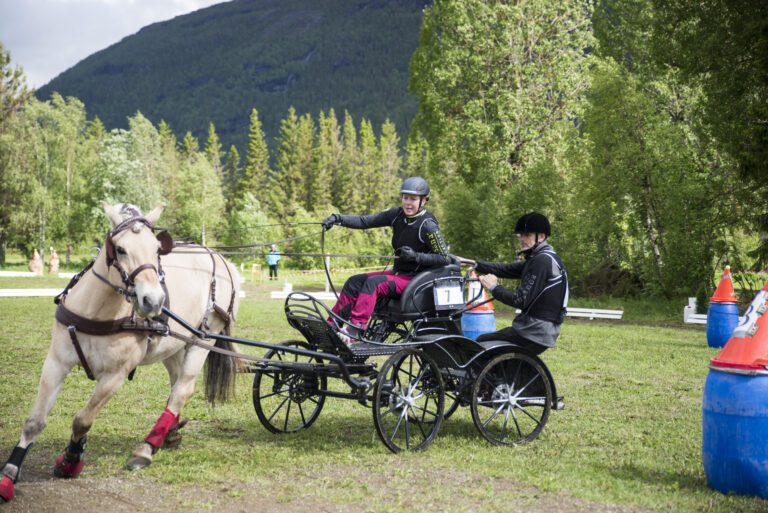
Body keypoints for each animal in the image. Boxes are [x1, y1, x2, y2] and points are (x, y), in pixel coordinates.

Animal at [0, 202, 240, 502]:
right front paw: (9, 475)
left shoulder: (115, 375)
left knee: (183, 388)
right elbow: (35, 421)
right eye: (121, 249)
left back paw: (146, 448)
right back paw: (168, 433)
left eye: (156, 249)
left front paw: (71, 460)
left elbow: (83, 419)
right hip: (173, 344)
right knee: (175, 384)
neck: (98, 310)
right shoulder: (56, 361)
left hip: (203, 337)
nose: (154, 301)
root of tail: (220, 258)